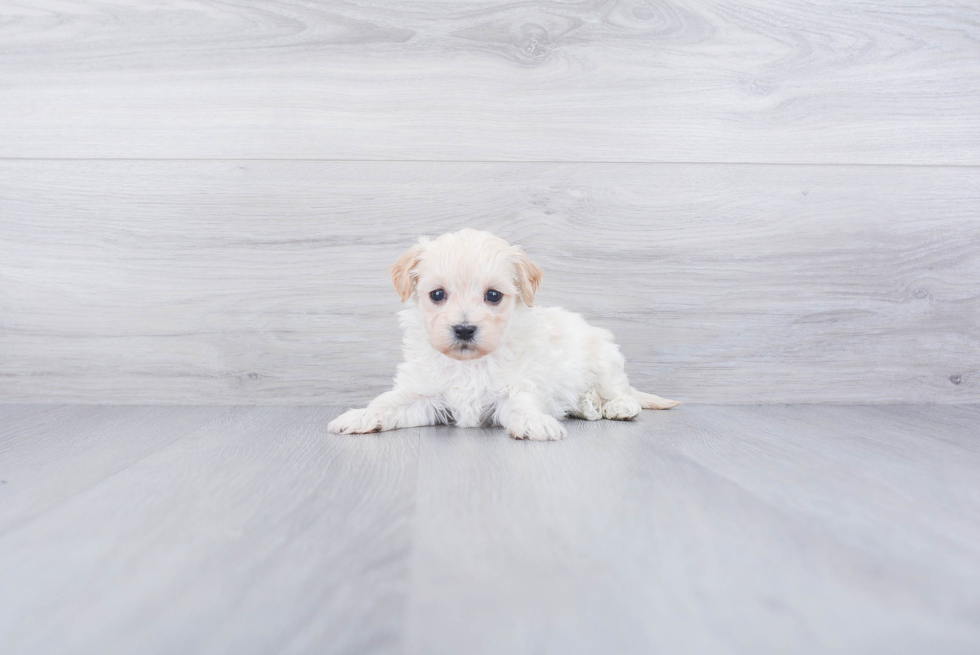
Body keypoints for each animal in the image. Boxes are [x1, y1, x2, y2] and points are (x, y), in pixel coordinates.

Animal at [330, 229, 680, 440]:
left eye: (493, 296)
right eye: (437, 294)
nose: (464, 329)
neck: (469, 364)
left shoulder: (517, 387)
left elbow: (523, 405)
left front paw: (536, 423)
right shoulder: (422, 395)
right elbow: (388, 403)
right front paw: (360, 416)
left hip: (604, 360)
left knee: (623, 392)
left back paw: (617, 407)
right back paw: (587, 405)